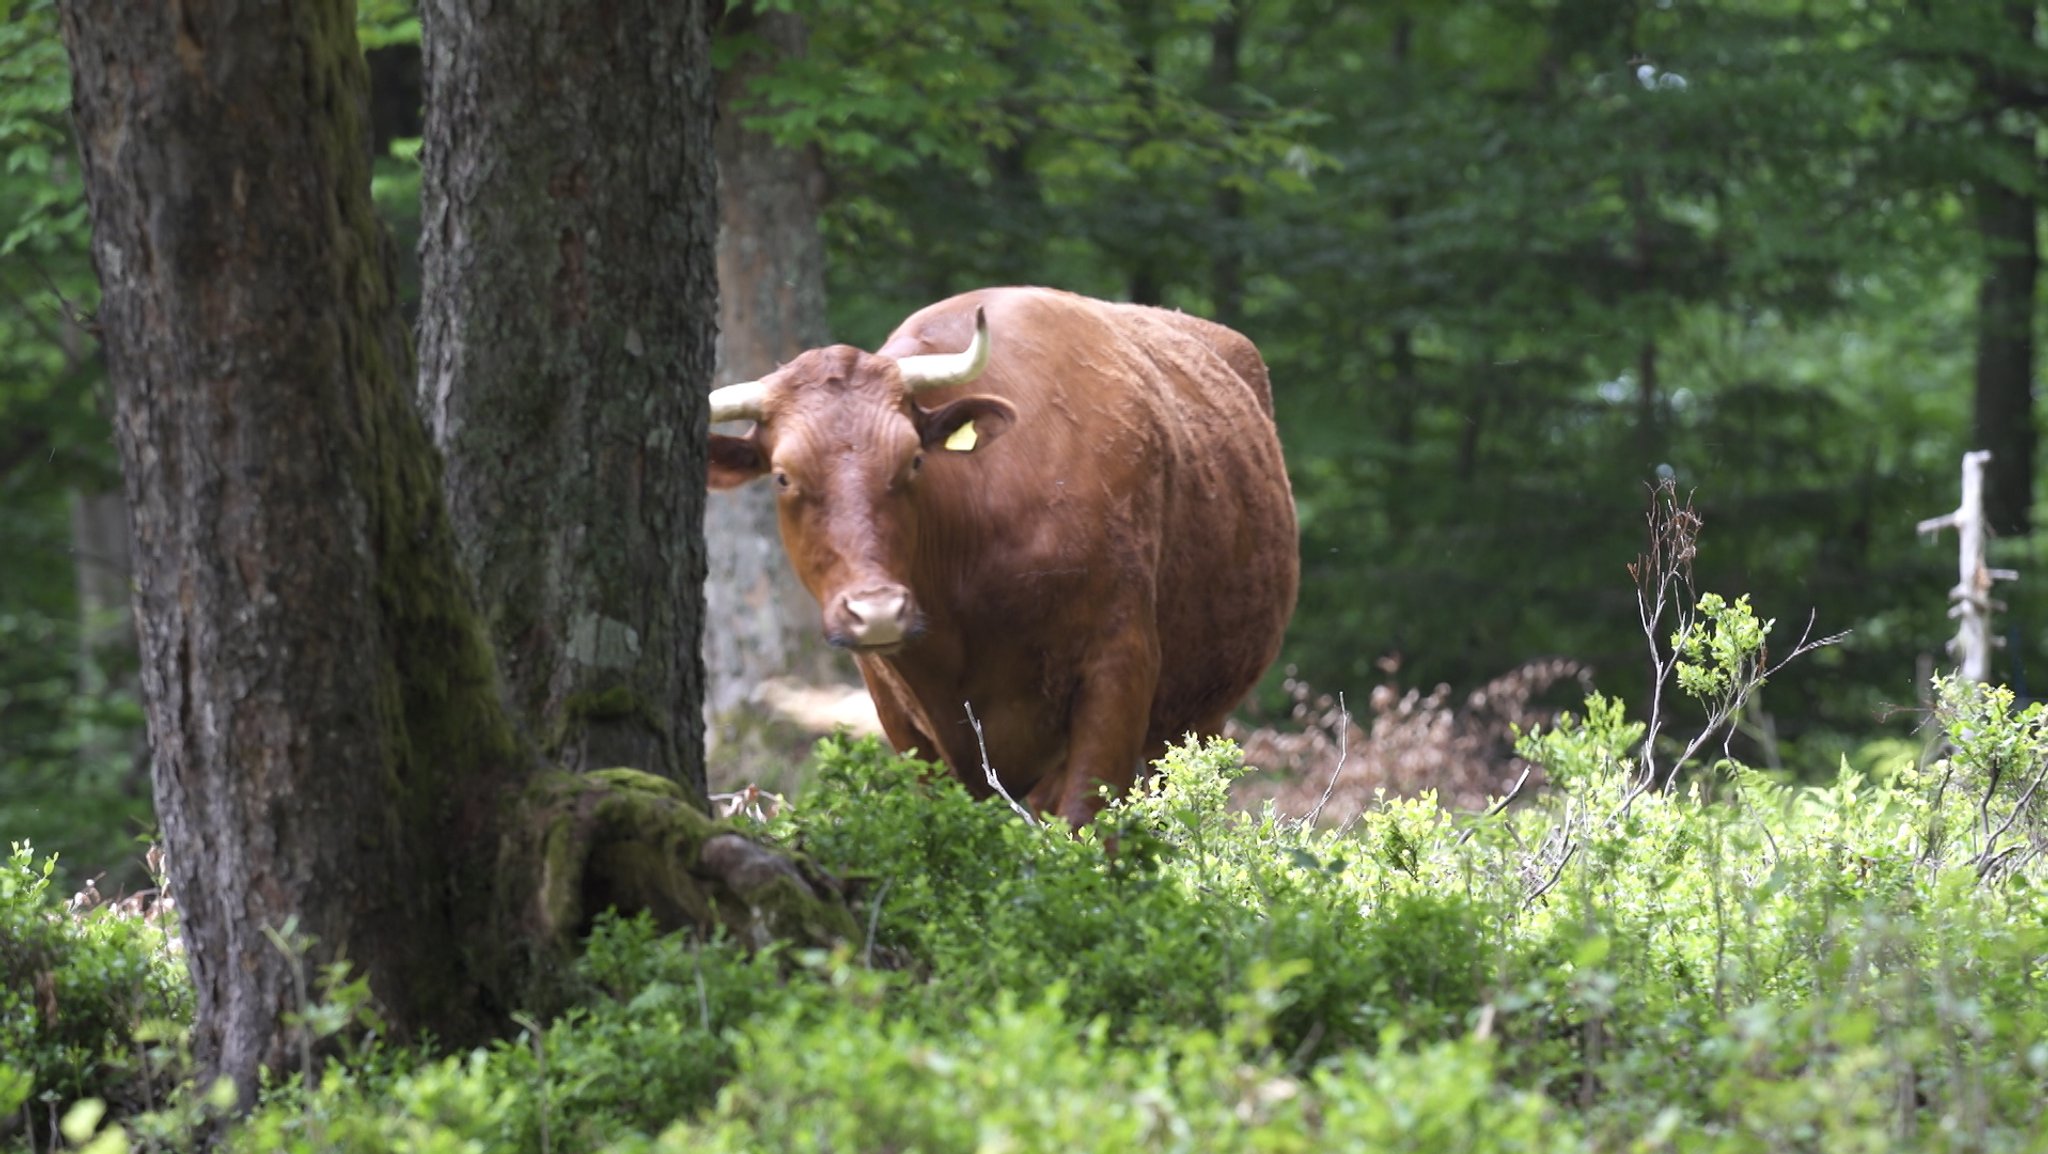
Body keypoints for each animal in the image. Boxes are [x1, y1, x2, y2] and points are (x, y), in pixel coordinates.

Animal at [707, 286, 1298, 825]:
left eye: (914, 459)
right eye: (783, 476)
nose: (876, 611)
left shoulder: (1119, 668)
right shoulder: (900, 710)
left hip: (1199, 716)